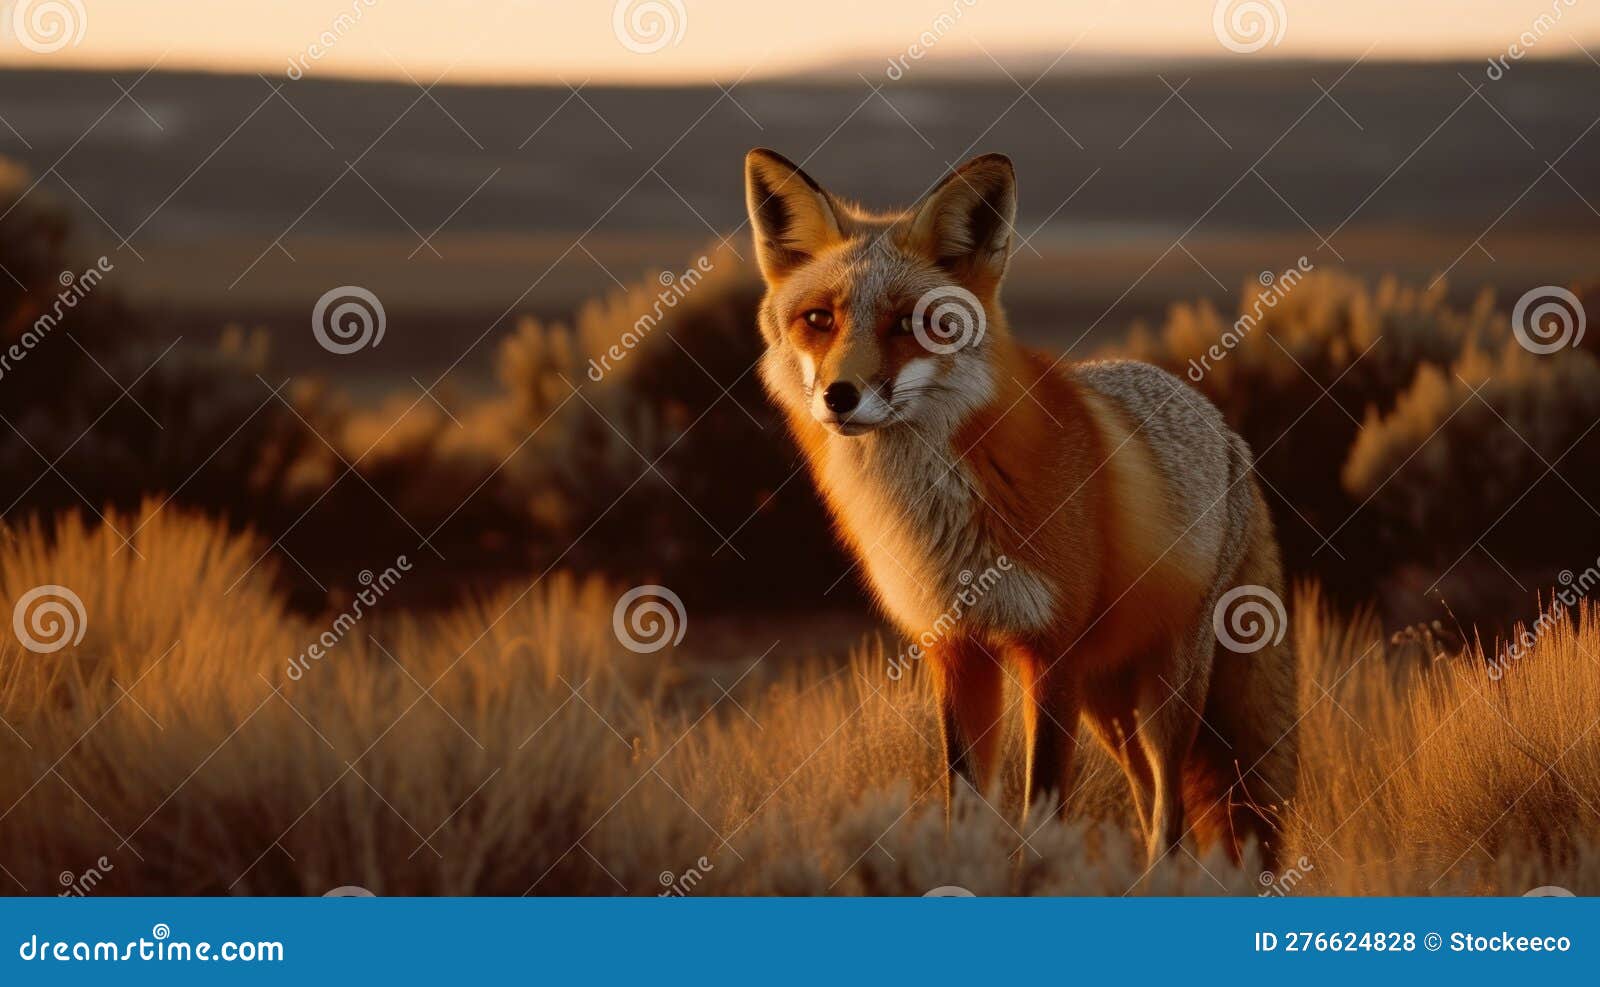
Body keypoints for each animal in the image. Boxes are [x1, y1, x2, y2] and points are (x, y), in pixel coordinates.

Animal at [742, 146, 1292, 863]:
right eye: (819, 320)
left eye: (911, 323)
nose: (840, 395)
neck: (942, 520)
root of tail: (1227, 430)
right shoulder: (957, 650)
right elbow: (966, 803)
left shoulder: (1049, 650)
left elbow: (1042, 809)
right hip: (1109, 701)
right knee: (1149, 796)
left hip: (1165, 694)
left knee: (1168, 811)